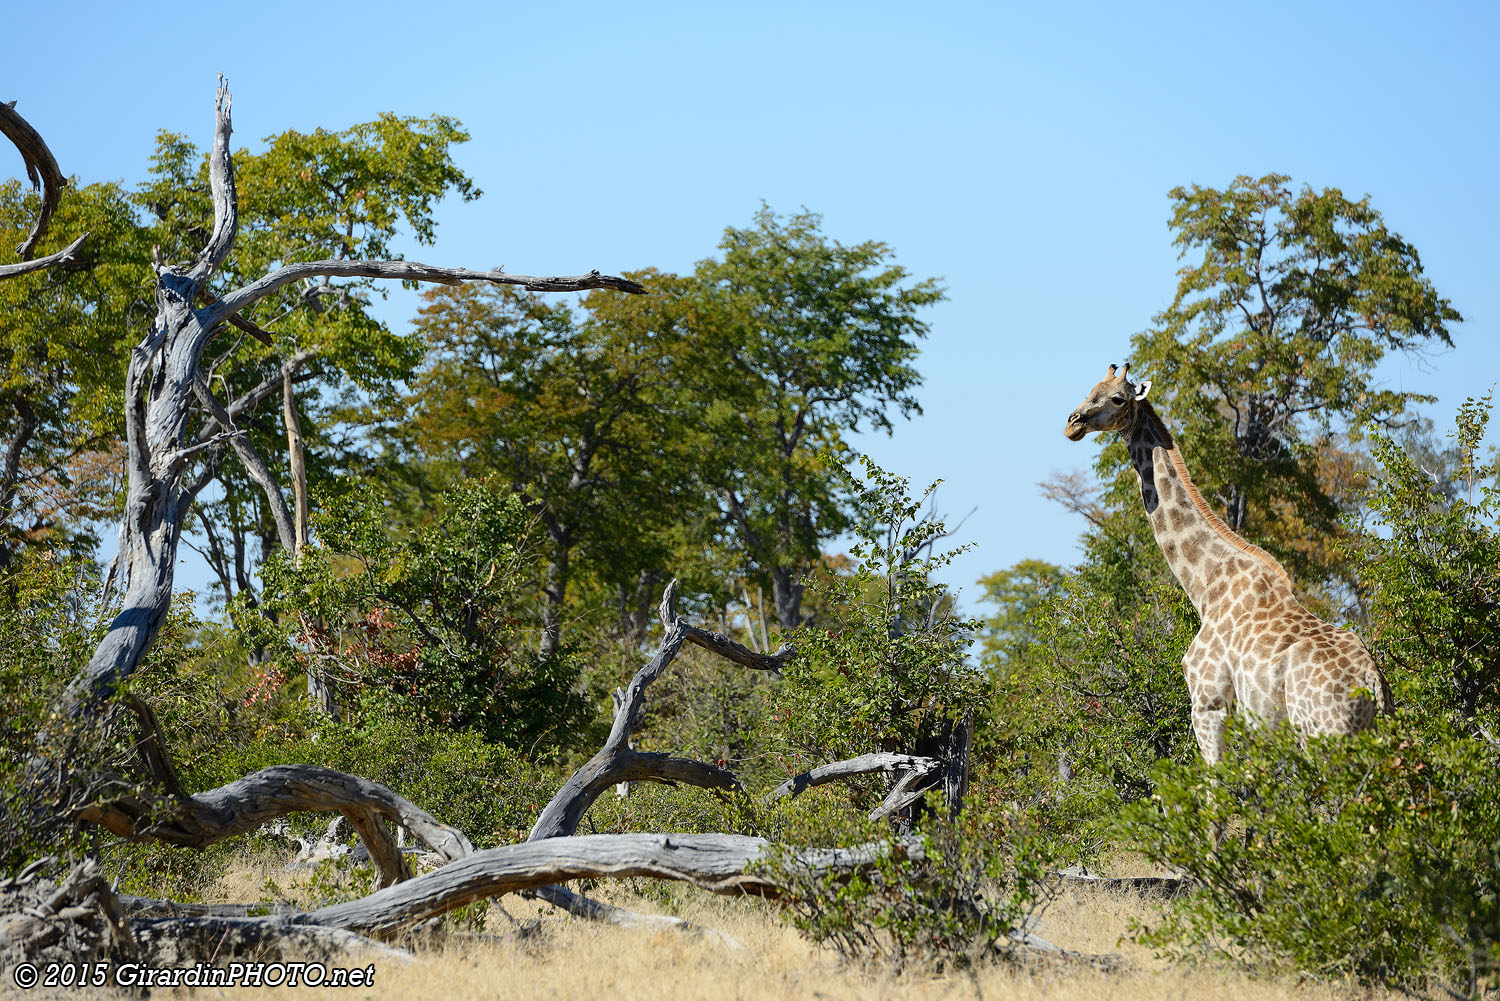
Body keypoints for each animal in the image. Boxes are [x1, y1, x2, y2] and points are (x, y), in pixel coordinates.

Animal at [1062, 363, 1392, 765]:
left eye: (1117, 398)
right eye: (1090, 390)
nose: (1073, 423)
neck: (1205, 584)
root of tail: (1372, 682)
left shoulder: (1209, 704)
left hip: (1323, 736)